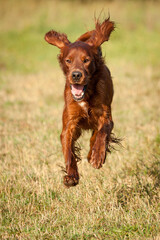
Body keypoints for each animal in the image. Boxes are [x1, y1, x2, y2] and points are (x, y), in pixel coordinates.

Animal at [45, 17, 116, 188]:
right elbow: (69, 153)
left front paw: (97, 156)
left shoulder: (105, 116)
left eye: (86, 60)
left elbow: (102, 132)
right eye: (68, 60)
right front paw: (71, 176)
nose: (76, 75)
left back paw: (93, 155)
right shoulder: (69, 125)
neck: (86, 95)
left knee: (96, 135)